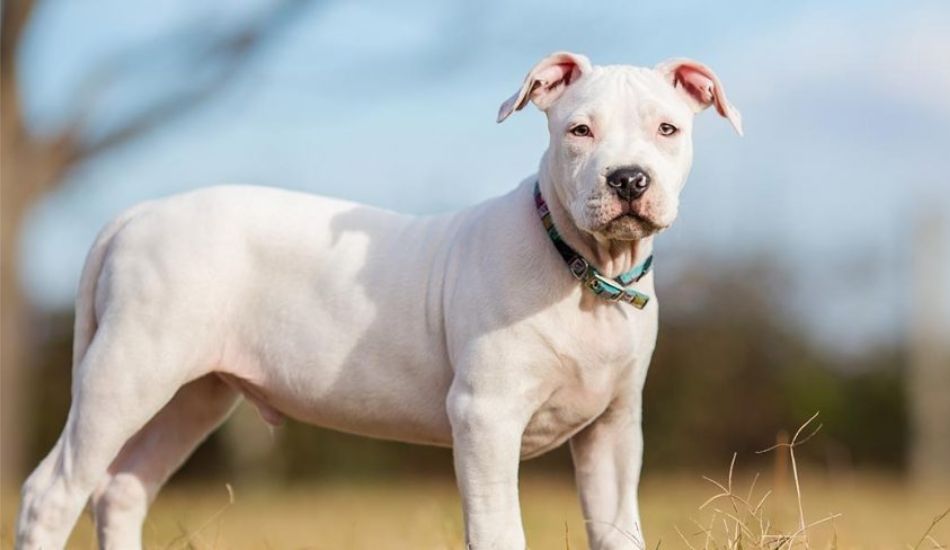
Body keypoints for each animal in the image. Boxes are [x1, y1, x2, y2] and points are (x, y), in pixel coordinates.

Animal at [16, 52, 744, 550]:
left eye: (668, 129)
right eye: (579, 131)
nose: (629, 179)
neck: (584, 273)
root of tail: (135, 216)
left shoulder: (613, 430)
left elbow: (618, 530)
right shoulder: (485, 417)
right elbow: (499, 530)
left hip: (193, 394)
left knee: (121, 490)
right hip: (127, 373)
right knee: (52, 492)